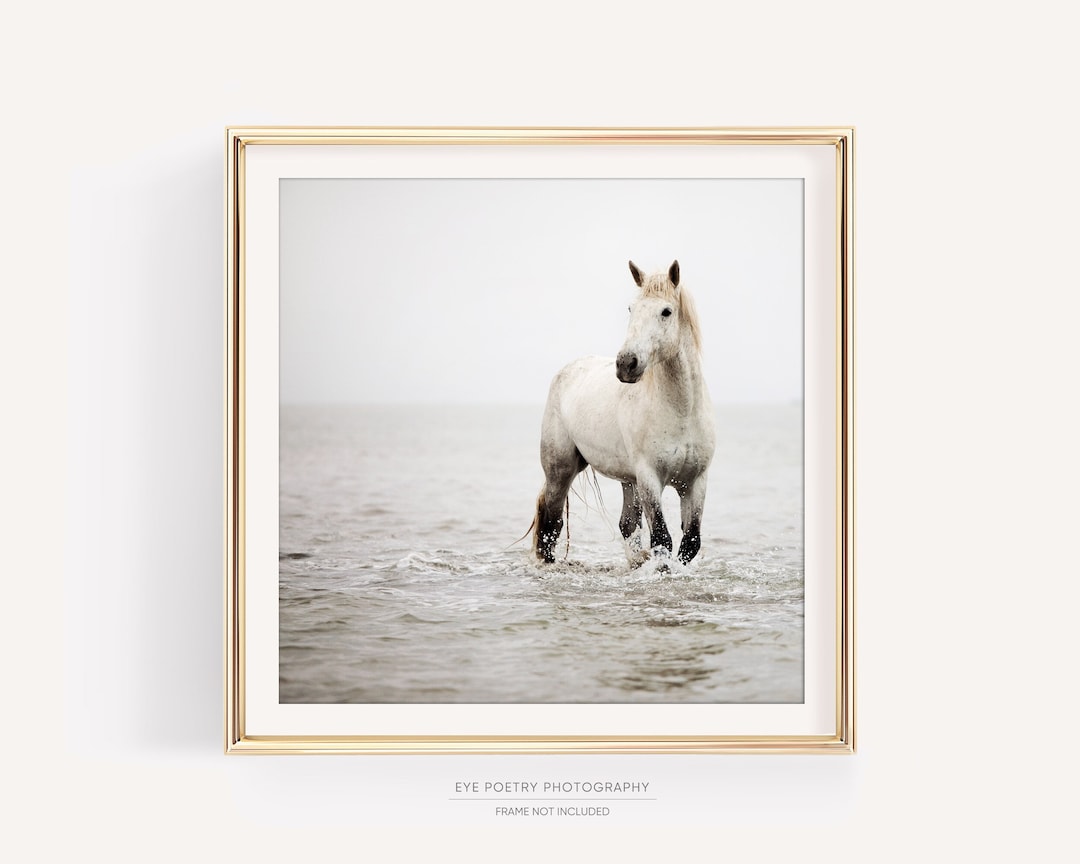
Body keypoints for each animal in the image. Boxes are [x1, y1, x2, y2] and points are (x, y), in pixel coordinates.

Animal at [533, 260, 716, 566]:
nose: (626, 364)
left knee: (627, 524)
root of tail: (567, 370)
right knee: (550, 524)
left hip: (628, 481)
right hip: (560, 470)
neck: (681, 413)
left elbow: (690, 542)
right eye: (631, 309)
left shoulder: (695, 482)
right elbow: (662, 540)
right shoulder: (650, 478)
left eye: (666, 311)